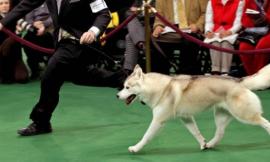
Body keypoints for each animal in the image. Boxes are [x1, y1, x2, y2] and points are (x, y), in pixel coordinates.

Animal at [117, 65, 270, 153]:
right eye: (123, 86)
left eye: (127, 87)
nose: (117, 95)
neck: (159, 89)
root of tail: (239, 81)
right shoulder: (186, 118)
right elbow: (196, 132)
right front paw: (203, 144)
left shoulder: (158, 121)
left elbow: (146, 136)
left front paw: (135, 148)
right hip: (221, 116)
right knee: (220, 134)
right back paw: (210, 145)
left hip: (245, 116)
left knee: (266, 123)